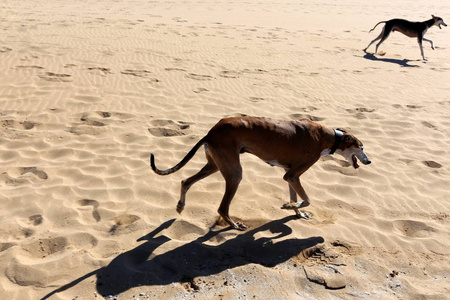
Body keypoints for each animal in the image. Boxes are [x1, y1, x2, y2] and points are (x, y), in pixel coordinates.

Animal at [149, 116, 370, 231]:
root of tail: (211, 132)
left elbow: (296, 196)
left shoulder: (290, 174)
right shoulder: (292, 175)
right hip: (234, 173)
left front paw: (296, 211)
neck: (329, 137)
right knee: (222, 207)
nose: (369, 161)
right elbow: (306, 199)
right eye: (360, 146)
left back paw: (180, 206)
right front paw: (291, 206)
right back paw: (234, 225)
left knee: (186, 180)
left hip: (214, 165)